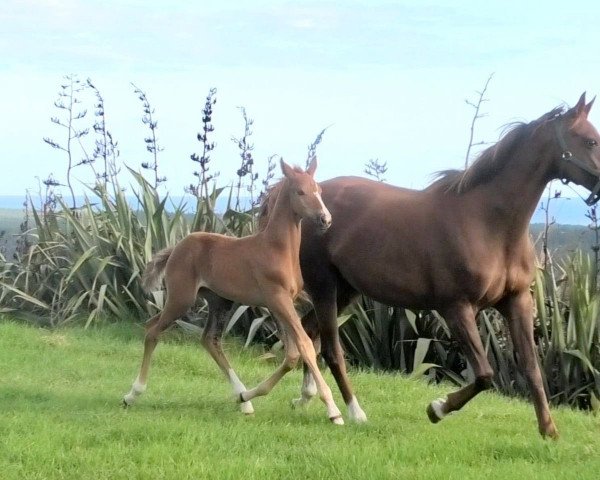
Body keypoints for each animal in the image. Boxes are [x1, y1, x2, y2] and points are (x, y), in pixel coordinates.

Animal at [124, 158, 344, 424]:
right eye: (300, 192)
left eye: (319, 191)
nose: (326, 219)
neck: (277, 249)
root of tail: (176, 247)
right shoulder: (278, 300)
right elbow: (305, 345)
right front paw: (333, 410)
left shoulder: (282, 304)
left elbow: (292, 354)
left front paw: (249, 396)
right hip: (181, 298)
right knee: (153, 331)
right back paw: (132, 394)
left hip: (219, 300)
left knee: (208, 339)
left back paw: (243, 400)